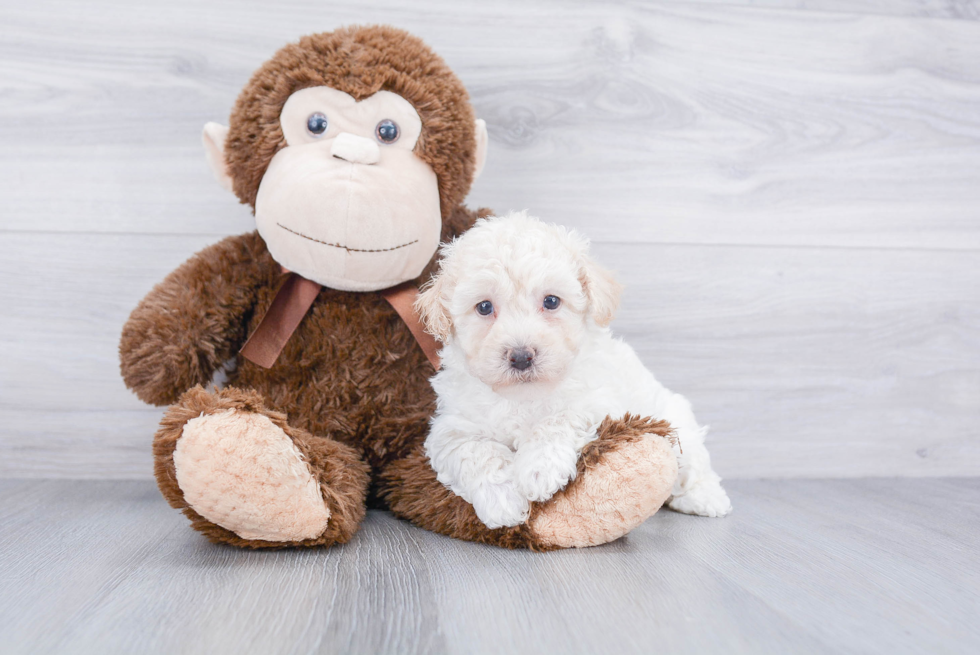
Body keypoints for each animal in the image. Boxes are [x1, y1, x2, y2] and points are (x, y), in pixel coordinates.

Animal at [418, 213, 732, 532]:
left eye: (551, 301)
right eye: (483, 307)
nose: (521, 357)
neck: (523, 397)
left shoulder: (598, 403)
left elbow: (560, 418)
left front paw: (538, 470)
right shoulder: (451, 428)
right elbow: (474, 451)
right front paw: (502, 500)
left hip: (678, 423)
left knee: (693, 464)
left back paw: (705, 499)